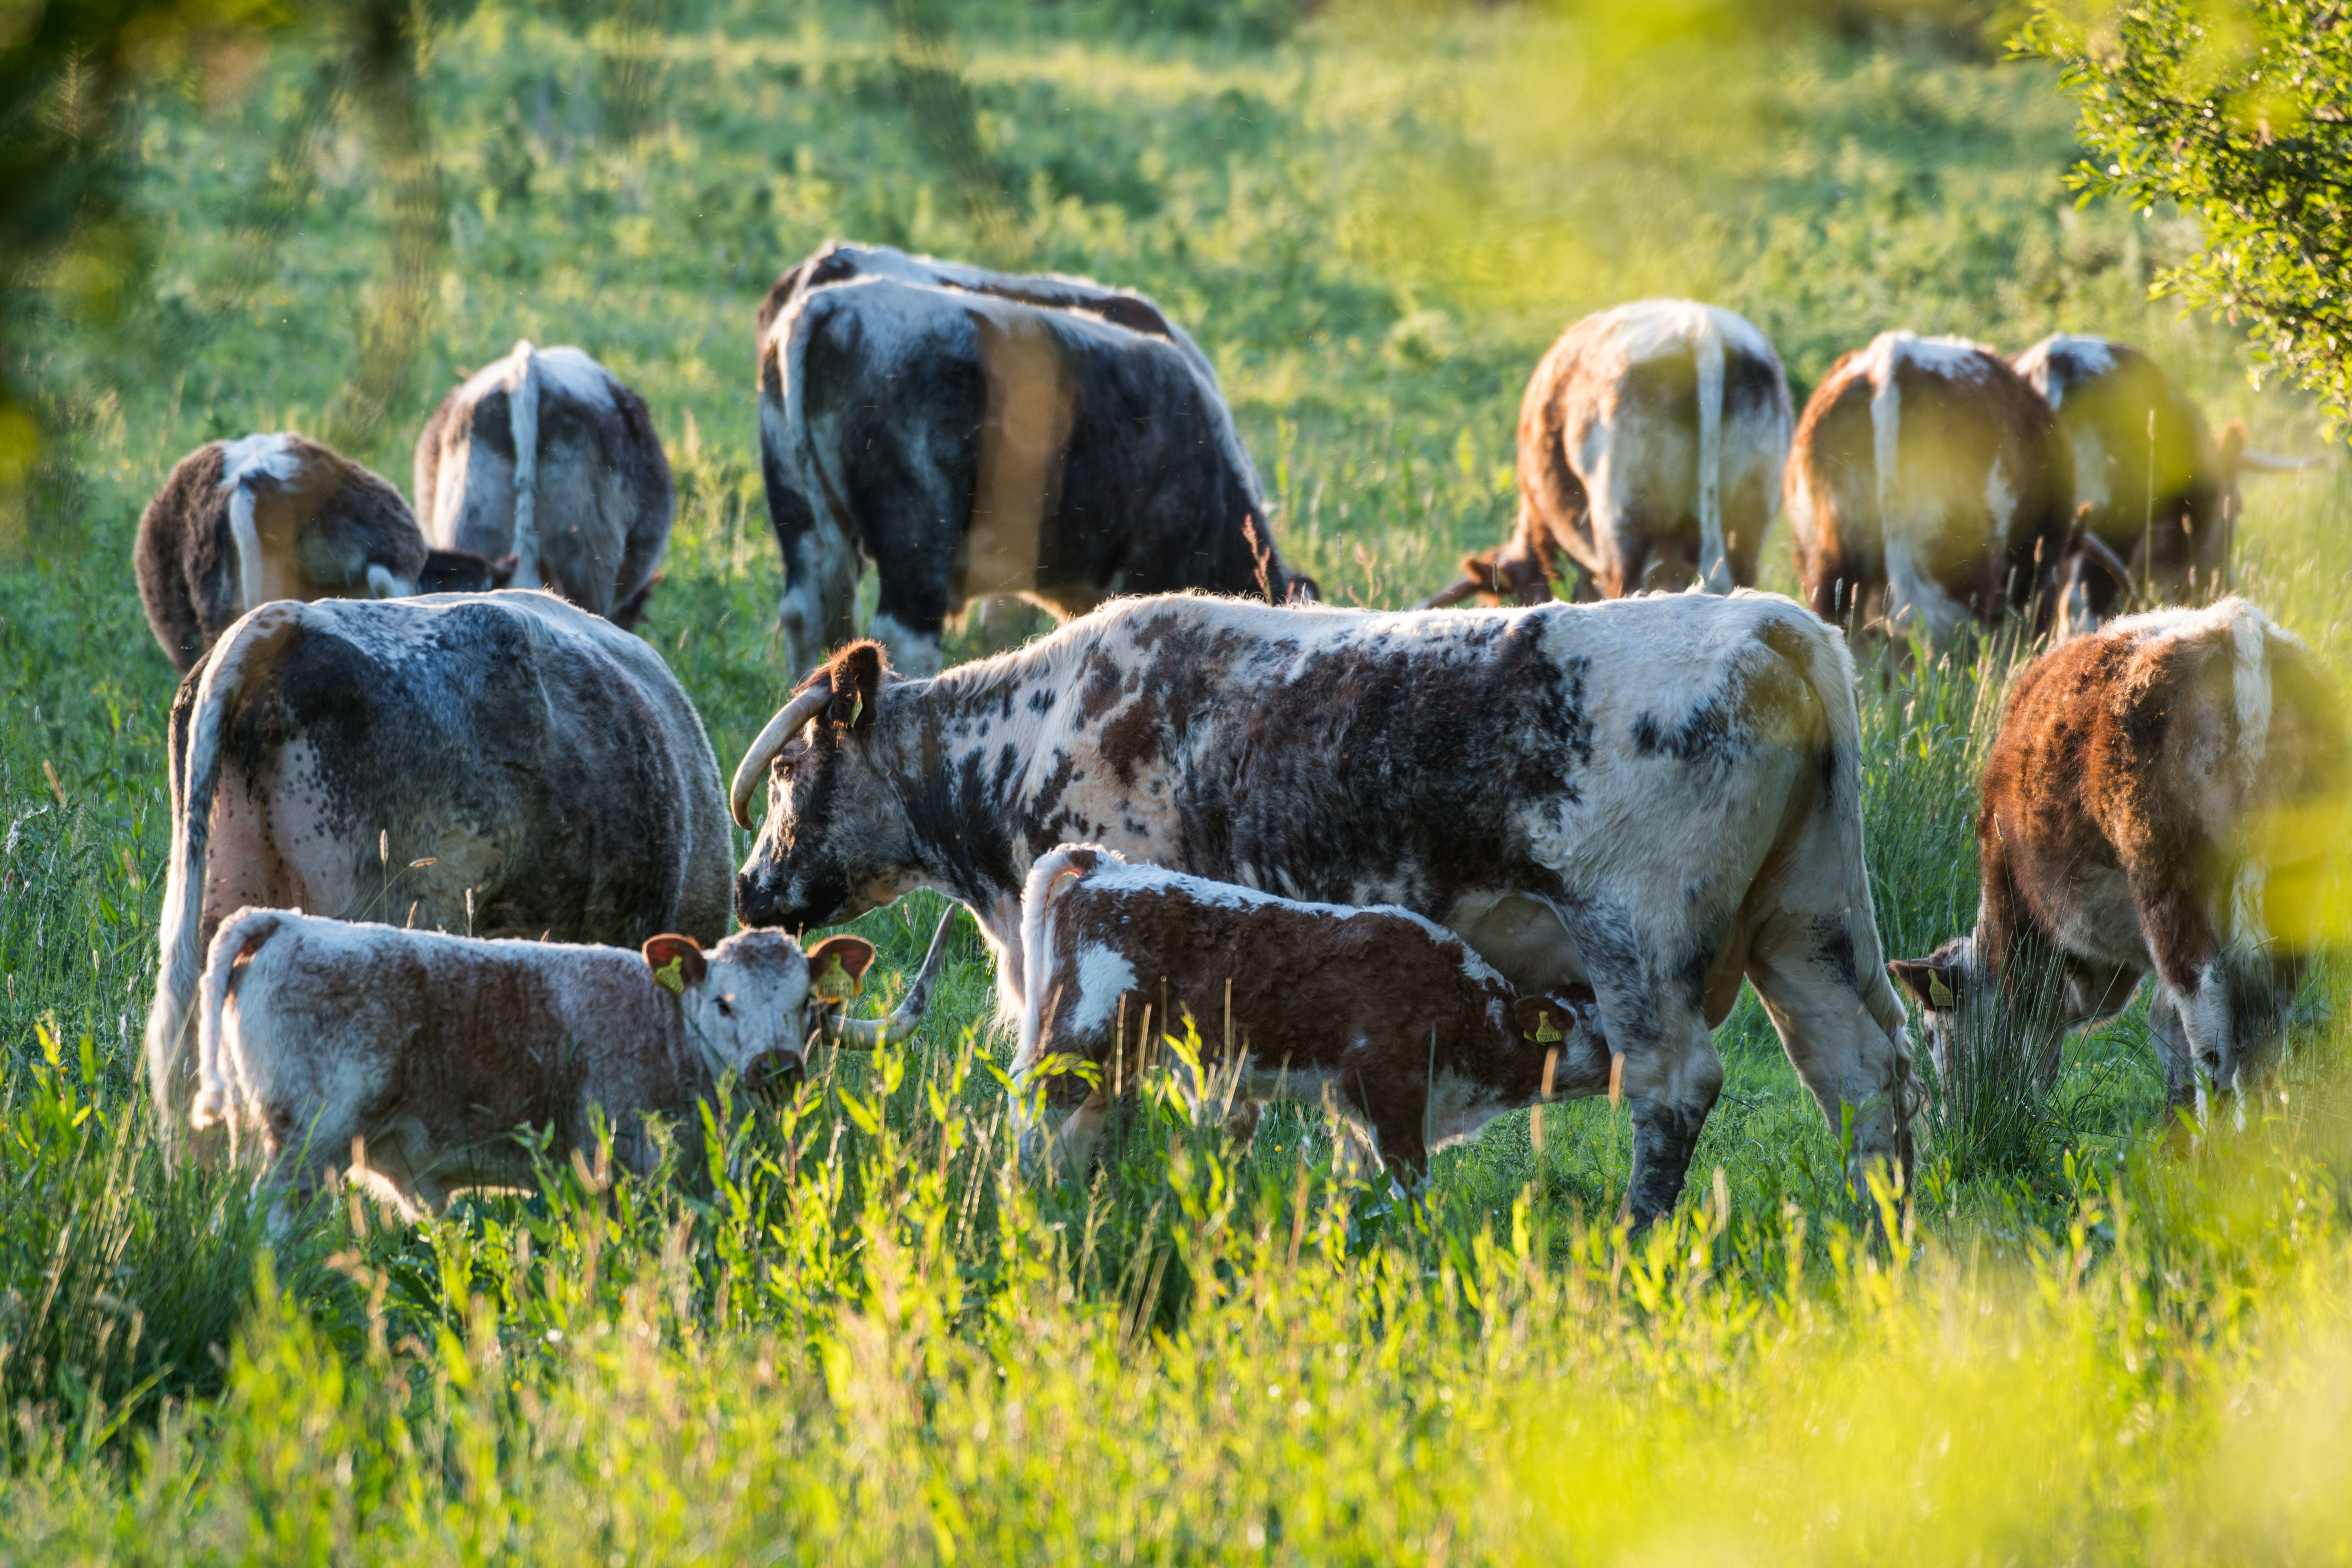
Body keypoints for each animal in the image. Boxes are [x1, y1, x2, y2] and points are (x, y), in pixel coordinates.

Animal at [1013, 844, 1611, 1177]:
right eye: (1613, 1035)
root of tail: (1106, 870)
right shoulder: (1387, 1095)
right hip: (1081, 1034)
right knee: (1032, 1112)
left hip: (1119, 1055)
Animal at [1890, 598, 2344, 1117]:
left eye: (1930, 1034)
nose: (1957, 1121)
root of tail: (2237, 625)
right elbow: (2166, 1028)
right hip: (2288, 884)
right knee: (2266, 1027)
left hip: (2166, 881)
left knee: (2210, 1023)